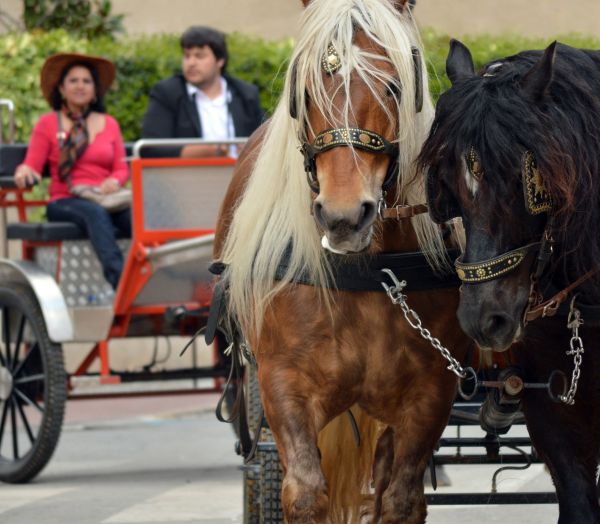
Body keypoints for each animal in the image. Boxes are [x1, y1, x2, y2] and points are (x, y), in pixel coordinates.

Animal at [213, 2, 472, 520]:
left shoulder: (429, 393)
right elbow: (306, 492)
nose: (343, 217)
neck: (370, 275)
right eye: (306, 89)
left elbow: (400, 499)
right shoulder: (283, 384)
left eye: (392, 87)